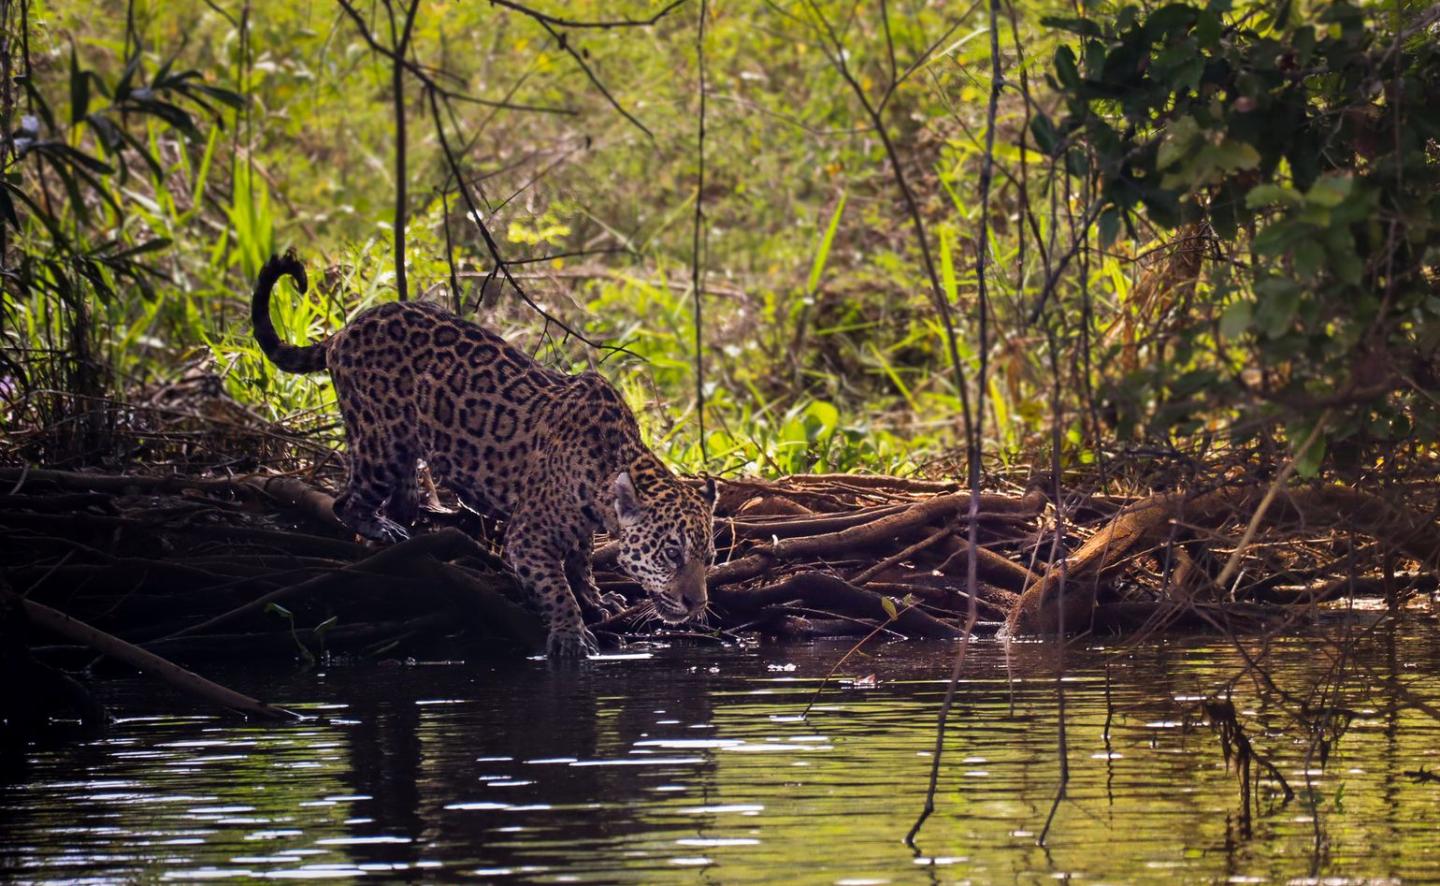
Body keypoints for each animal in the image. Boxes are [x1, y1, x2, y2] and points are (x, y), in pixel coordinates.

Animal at [250, 252, 716, 658]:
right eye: (671, 554)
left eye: (708, 557)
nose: (695, 603)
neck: (604, 479)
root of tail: (346, 329)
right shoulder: (528, 535)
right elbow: (555, 588)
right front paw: (572, 635)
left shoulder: (581, 529)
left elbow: (580, 561)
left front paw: (597, 601)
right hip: (379, 442)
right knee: (346, 502)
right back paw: (381, 529)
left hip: (404, 450)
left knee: (402, 497)